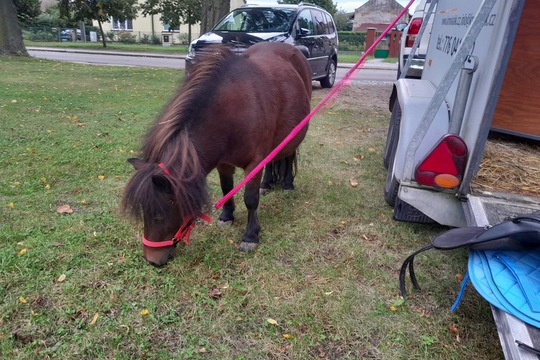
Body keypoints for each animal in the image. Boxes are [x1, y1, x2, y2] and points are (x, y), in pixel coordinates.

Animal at [121, 43, 312, 268]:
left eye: (160, 213)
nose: (152, 260)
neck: (234, 112)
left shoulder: (254, 163)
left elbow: (250, 199)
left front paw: (250, 236)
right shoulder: (224, 163)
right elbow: (226, 188)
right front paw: (227, 216)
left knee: (289, 155)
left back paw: (288, 184)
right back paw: (267, 184)